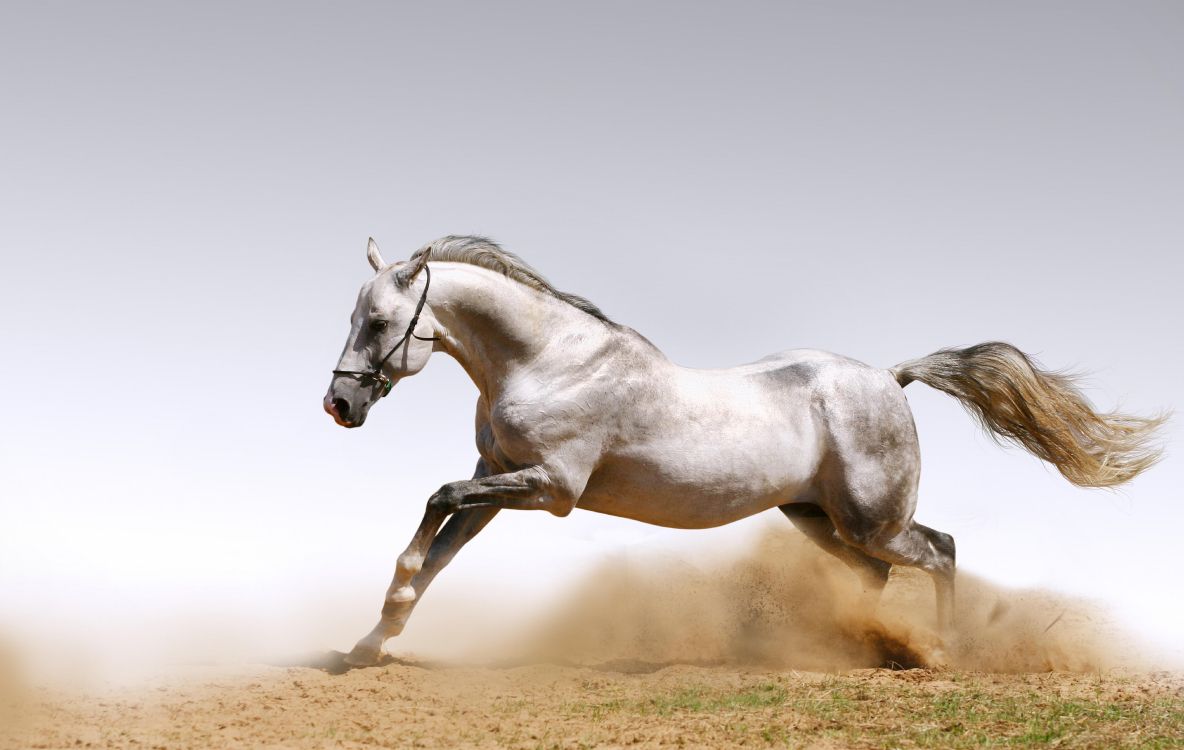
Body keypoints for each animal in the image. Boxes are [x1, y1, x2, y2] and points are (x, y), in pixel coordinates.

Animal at [324, 235, 1165, 667]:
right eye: (357, 317)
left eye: (379, 322)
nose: (339, 405)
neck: (548, 361)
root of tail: (890, 378)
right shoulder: (498, 477)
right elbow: (438, 552)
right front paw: (370, 643)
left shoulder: (549, 488)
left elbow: (434, 505)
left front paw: (380, 620)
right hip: (816, 518)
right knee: (880, 574)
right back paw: (860, 647)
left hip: (872, 518)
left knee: (941, 550)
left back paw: (941, 651)